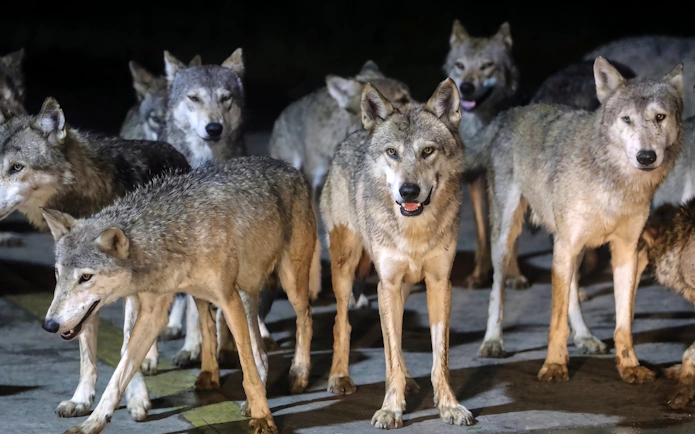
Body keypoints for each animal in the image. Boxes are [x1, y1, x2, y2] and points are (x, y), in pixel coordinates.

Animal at [0, 97, 191, 421]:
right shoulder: (80, 292)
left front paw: (136, 397)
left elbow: (126, 344)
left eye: (16, 167)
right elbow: (86, 352)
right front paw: (81, 400)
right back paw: (151, 358)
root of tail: (172, 148)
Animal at [41, 156, 319, 434]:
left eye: (86, 277)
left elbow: (246, 369)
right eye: (57, 274)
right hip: (221, 293)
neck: (171, 237)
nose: (49, 325)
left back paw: (299, 374)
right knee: (237, 340)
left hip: (289, 283)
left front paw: (262, 416)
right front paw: (93, 422)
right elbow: (118, 375)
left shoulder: (228, 301)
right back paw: (215, 377)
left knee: (304, 318)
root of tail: (288, 167)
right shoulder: (153, 315)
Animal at [320, 78, 475, 429]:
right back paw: (339, 377)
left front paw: (449, 405)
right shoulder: (386, 284)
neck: (414, 231)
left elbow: (439, 356)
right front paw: (391, 409)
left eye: (427, 150)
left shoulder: (439, 283)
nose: (408, 191)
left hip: (399, 286)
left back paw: (409, 380)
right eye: (392, 152)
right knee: (341, 323)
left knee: (398, 336)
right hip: (346, 272)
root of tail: (355, 135)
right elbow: (388, 354)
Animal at [443, 19, 526, 290]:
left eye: (486, 66)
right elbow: (481, 232)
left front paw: (513, 275)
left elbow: (510, 236)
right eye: (460, 65)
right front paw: (479, 274)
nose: (466, 87)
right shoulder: (476, 180)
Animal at [472, 57, 683, 385]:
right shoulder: (565, 244)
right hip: (509, 238)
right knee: (498, 289)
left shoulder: (626, 250)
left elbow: (624, 321)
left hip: (577, 248)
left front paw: (630, 366)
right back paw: (492, 342)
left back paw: (585, 337)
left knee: (572, 290)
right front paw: (554, 365)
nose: (646, 157)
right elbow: (555, 321)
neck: (616, 183)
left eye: (659, 117)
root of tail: (510, 113)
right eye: (626, 119)